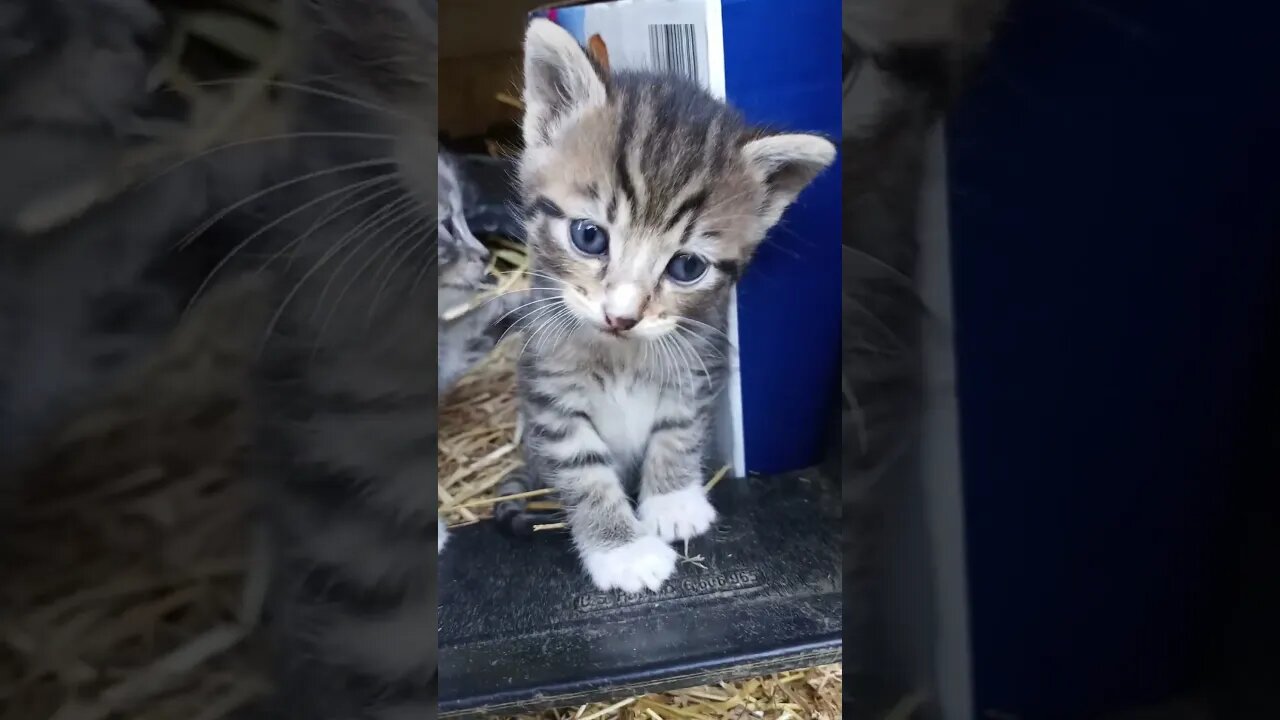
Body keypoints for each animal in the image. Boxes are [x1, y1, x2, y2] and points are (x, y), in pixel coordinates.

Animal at [509, 22, 839, 591]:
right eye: (589, 236)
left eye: (686, 267)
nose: (622, 317)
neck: (620, 357)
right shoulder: (548, 393)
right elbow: (582, 467)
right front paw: (622, 549)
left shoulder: (697, 362)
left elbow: (679, 430)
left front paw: (673, 500)